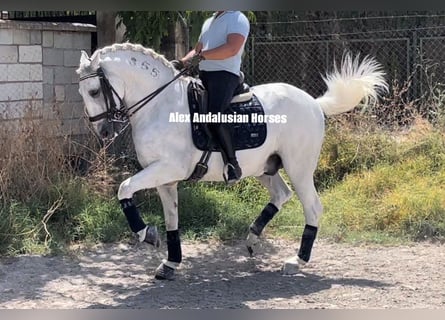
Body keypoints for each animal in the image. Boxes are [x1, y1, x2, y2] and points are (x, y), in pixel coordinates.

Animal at [76, 42, 386, 280]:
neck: (159, 105)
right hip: (265, 167)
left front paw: (147, 234)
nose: (104, 132)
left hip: (299, 167)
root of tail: (313, 103)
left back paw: (296, 261)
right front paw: (170, 262)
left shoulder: (167, 169)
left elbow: (124, 189)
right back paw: (252, 238)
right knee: (281, 194)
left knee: (312, 207)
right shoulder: (165, 177)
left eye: (94, 91)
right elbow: (172, 219)